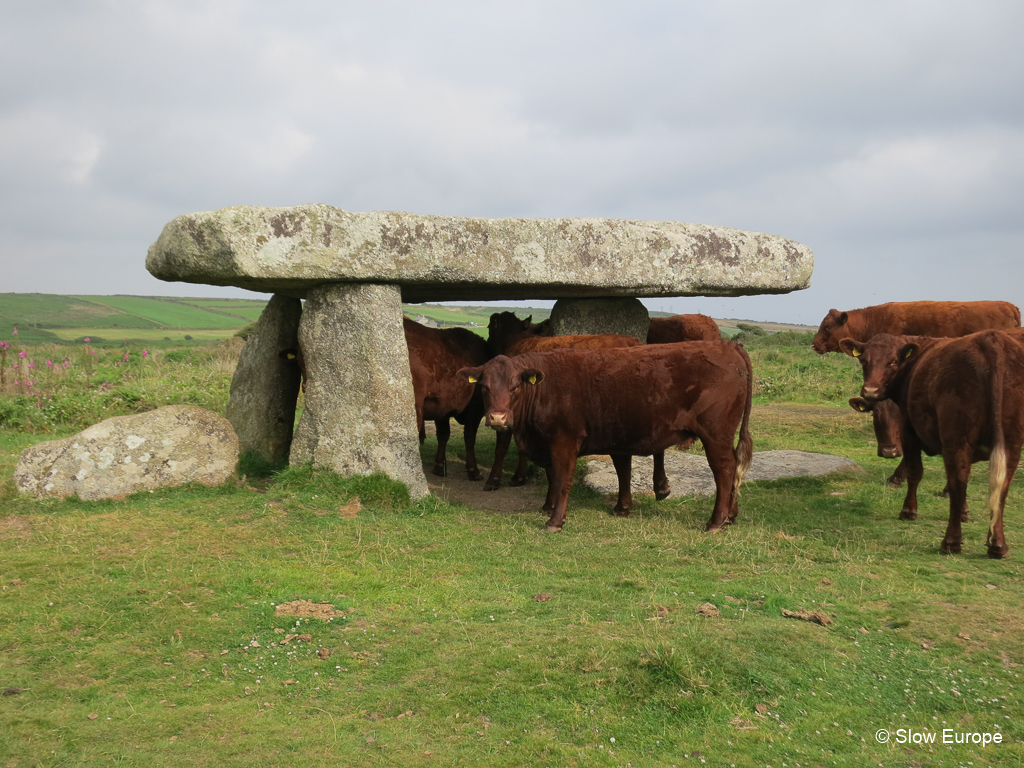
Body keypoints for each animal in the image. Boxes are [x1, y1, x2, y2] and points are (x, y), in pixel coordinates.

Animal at [839, 331, 1024, 561]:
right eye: (864, 360)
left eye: (893, 361)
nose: (871, 390)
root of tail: (991, 340)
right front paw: (964, 513)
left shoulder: (909, 433)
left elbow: (915, 472)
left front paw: (908, 511)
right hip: (1011, 442)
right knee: (1000, 488)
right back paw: (997, 544)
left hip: (956, 438)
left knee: (958, 483)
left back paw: (951, 542)